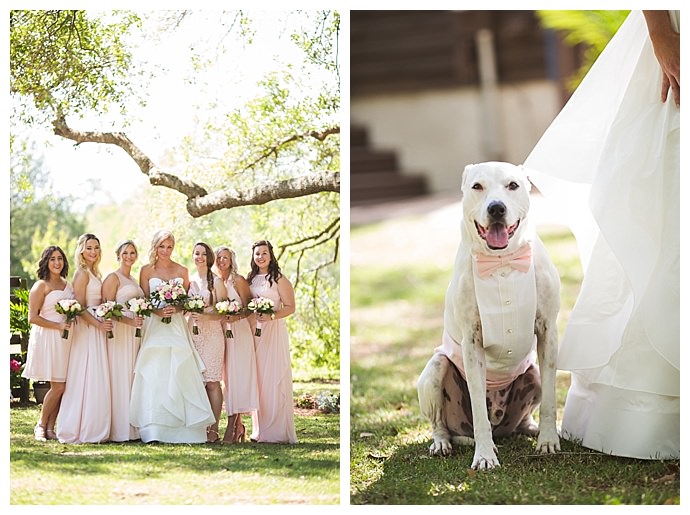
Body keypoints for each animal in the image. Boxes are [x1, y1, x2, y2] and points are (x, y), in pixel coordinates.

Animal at [414, 162, 560, 472]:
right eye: (477, 186)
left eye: (513, 185)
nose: (496, 208)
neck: (501, 261)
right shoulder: (472, 342)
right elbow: (479, 409)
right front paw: (484, 455)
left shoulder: (548, 332)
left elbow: (551, 401)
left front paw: (548, 441)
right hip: (435, 370)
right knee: (440, 422)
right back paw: (442, 443)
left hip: (534, 374)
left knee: (526, 412)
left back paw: (529, 429)